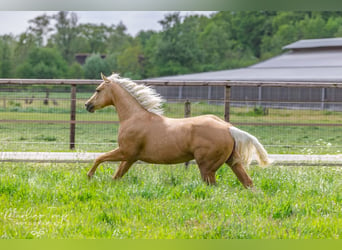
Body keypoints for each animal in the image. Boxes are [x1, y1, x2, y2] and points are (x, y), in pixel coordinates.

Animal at [85, 73, 270, 188]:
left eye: (98, 90)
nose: (87, 105)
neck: (134, 117)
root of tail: (228, 127)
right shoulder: (130, 158)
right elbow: (116, 176)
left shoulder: (126, 152)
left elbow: (99, 158)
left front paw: (89, 176)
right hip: (232, 162)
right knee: (248, 183)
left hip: (207, 168)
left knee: (214, 187)